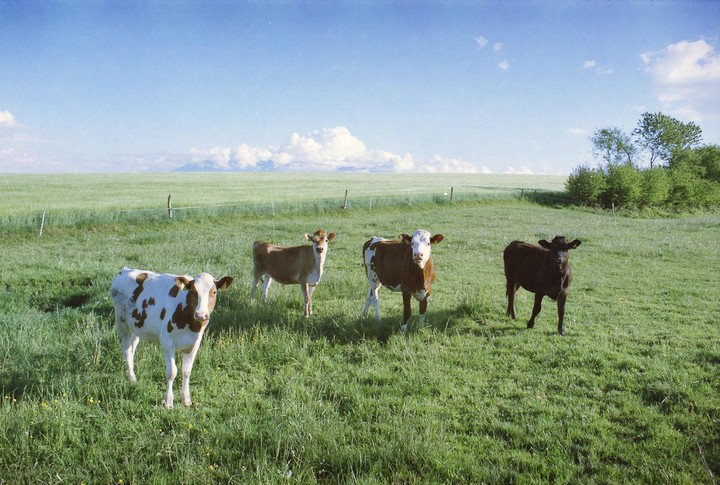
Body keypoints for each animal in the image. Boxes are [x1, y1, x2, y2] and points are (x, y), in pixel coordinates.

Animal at [111, 267, 233, 409]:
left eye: (213, 292)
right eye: (192, 291)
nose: (201, 315)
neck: (190, 323)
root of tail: (125, 270)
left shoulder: (194, 344)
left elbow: (186, 371)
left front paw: (186, 400)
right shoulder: (168, 343)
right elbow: (172, 372)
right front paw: (168, 402)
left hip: (138, 325)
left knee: (132, 345)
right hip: (121, 320)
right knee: (126, 348)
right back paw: (131, 377)